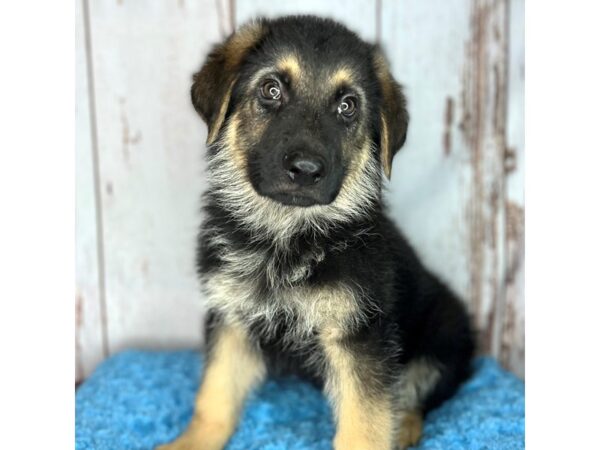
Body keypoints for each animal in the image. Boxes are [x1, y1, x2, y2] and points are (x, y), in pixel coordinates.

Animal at [158, 14, 474, 450]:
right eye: (271, 89)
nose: (306, 170)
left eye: (347, 106)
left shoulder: (360, 336)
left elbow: (365, 422)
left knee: (418, 393)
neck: (285, 235)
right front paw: (193, 440)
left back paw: (405, 427)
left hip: (442, 337)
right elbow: (215, 395)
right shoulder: (231, 319)